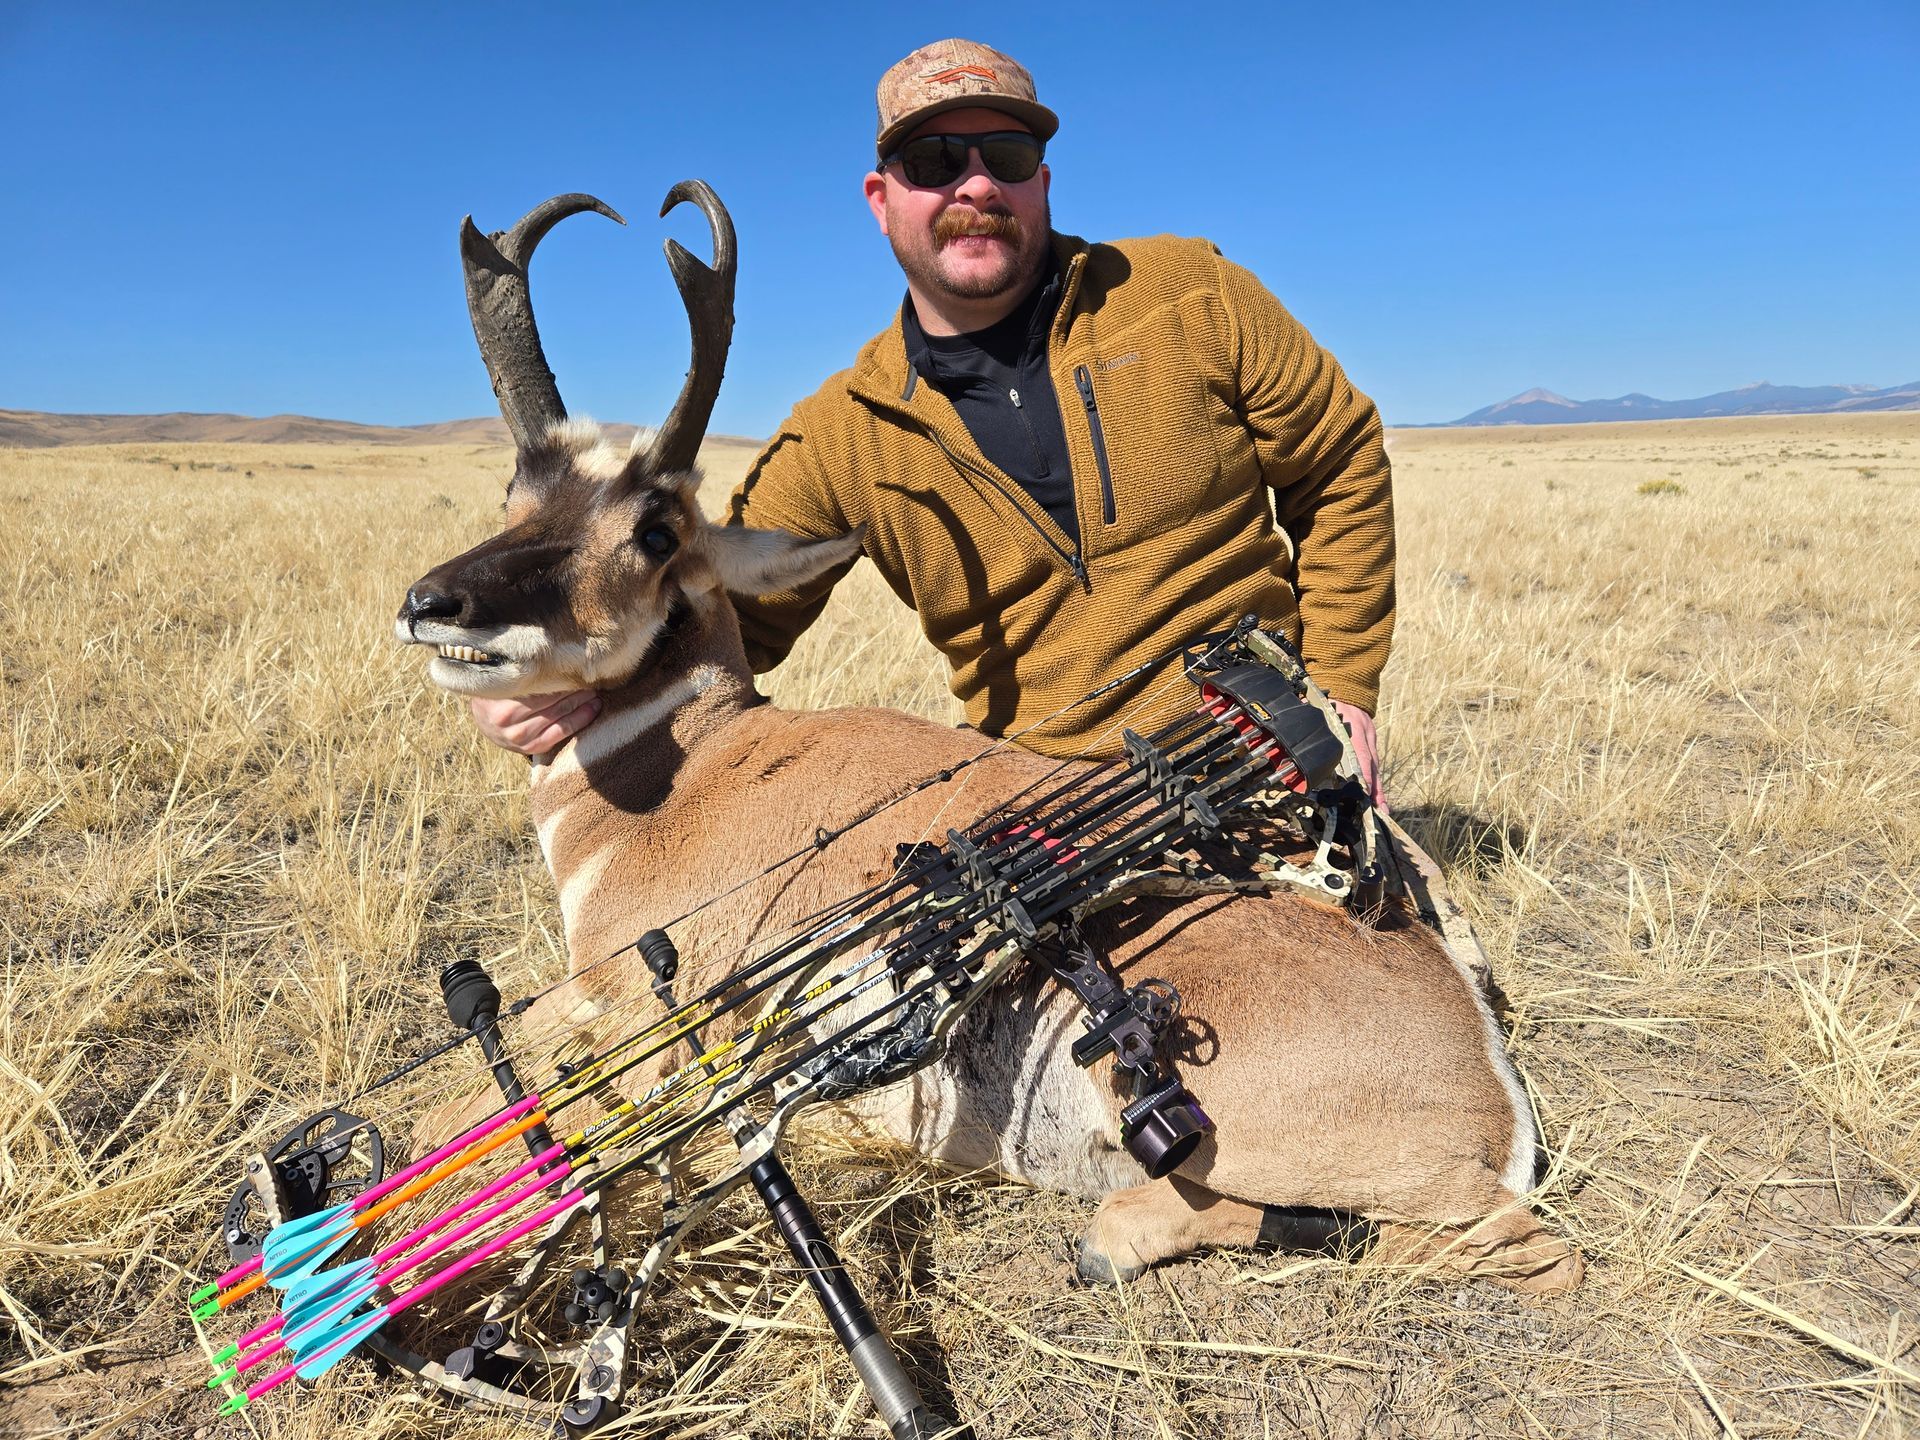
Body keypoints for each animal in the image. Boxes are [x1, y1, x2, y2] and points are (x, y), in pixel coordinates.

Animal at [397, 187, 1582, 1295]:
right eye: (517, 490)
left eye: (653, 530)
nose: (431, 604)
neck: (701, 767)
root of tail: (1485, 1070)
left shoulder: (628, 1014)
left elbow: (450, 1122)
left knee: (1512, 1250)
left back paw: (1101, 1235)